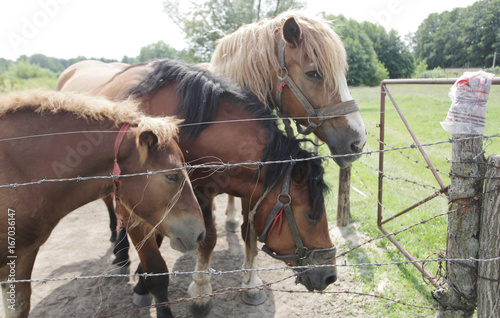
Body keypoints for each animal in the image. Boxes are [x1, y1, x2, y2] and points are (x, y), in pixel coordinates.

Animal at [57, 59, 340, 316]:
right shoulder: (138, 210)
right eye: (312, 215)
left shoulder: (191, 199)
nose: (330, 275)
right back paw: (120, 256)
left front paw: (146, 284)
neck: (183, 129)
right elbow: (164, 261)